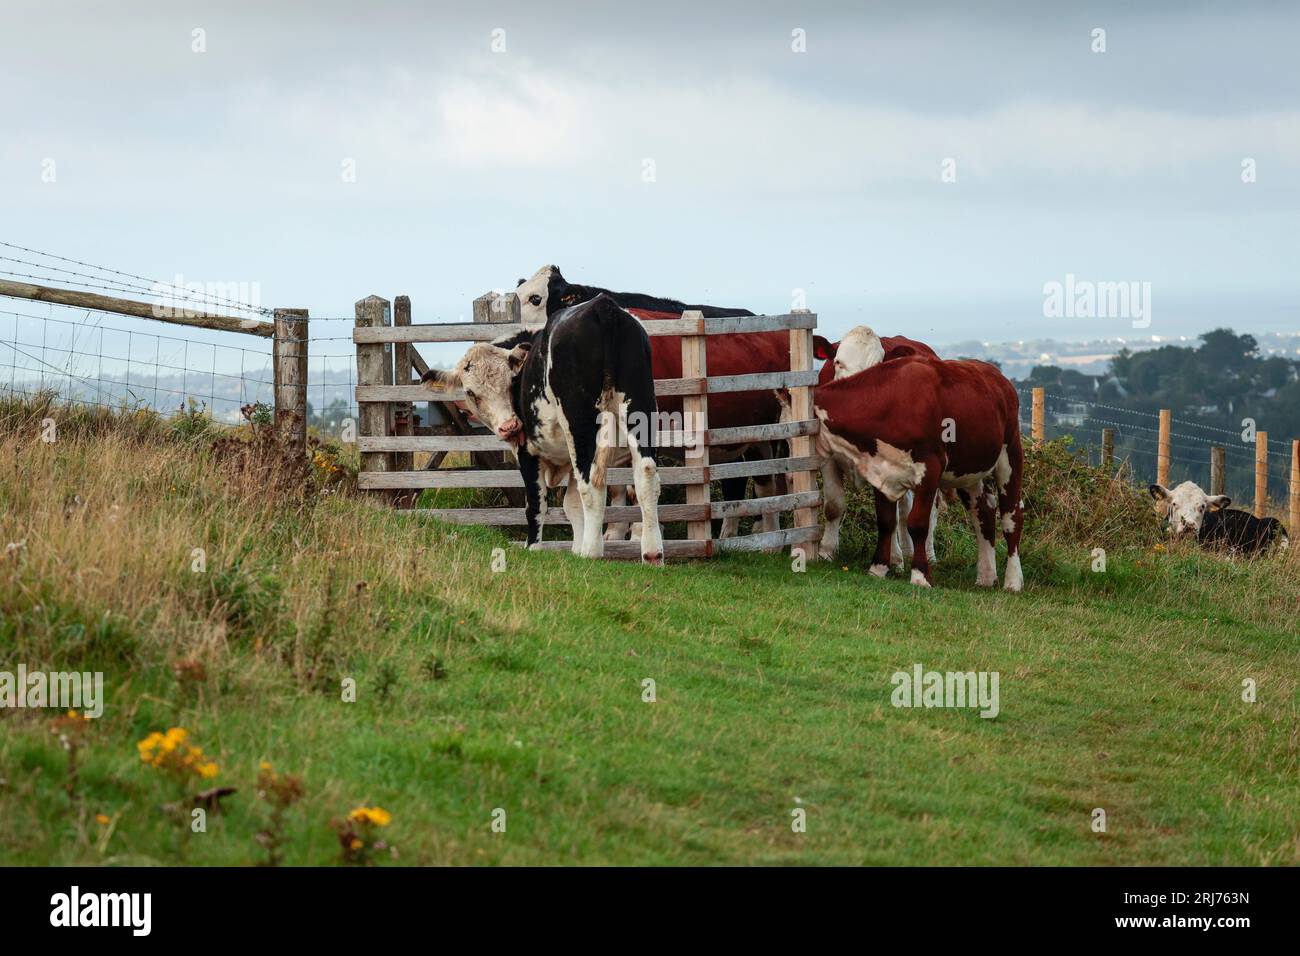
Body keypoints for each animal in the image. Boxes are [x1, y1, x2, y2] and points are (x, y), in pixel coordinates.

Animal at [426, 291, 665, 561]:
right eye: (471, 392)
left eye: (511, 380)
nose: (509, 426)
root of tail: (602, 307)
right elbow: (571, 504)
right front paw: (575, 549)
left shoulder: (527, 451)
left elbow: (536, 503)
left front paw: (535, 547)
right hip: (639, 407)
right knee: (646, 473)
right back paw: (652, 554)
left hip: (580, 424)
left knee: (592, 485)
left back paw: (591, 552)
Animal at [512, 265, 785, 541]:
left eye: (535, 298)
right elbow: (618, 485)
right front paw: (615, 533)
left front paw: (638, 533)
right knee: (743, 483)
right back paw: (732, 535)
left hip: (770, 432)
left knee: (768, 481)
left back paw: (770, 536)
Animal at [806, 329, 941, 567]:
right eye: (838, 362)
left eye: (878, 367)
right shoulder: (827, 457)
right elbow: (833, 505)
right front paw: (827, 551)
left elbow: (890, 516)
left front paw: (893, 559)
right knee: (905, 510)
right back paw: (909, 550)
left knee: (930, 509)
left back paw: (928, 555)